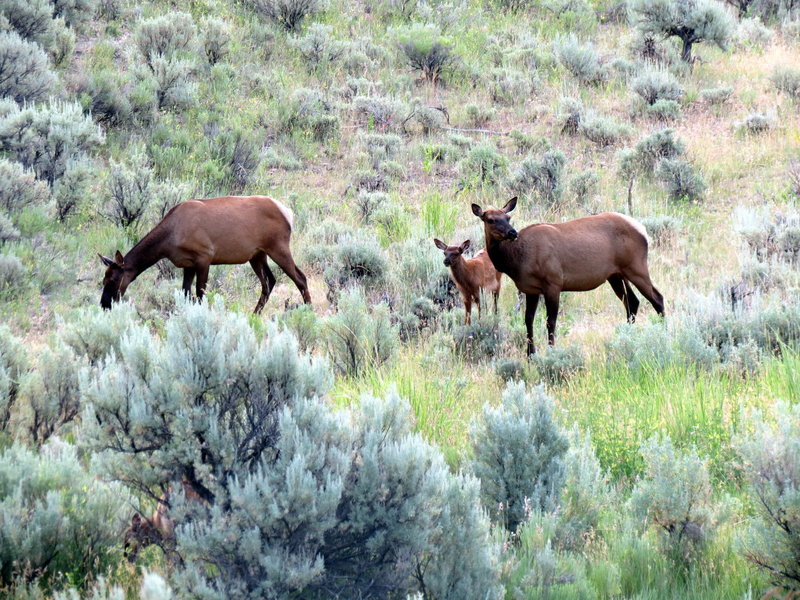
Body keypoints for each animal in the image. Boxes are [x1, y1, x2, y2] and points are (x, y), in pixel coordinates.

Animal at [98, 196, 310, 312]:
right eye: (103, 279)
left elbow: (200, 294)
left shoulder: (204, 257)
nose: (104, 304)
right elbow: (186, 293)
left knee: (300, 278)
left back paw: (309, 312)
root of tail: (288, 213)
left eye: (113, 279)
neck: (169, 239)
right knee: (269, 281)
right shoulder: (188, 264)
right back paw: (254, 314)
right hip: (257, 254)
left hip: (278, 246)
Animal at [472, 197, 664, 356]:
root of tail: (643, 231)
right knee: (633, 302)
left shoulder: (553, 282)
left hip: (636, 267)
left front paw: (550, 351)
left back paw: (664, 333)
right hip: (616, 274)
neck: (517, 262)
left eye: (508, 218)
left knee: (657, 298)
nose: (512, 233)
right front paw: (530, 355)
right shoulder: (531, 289)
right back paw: (625, 336)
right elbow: (528, 320)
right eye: (490, 219)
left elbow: (551, 322)